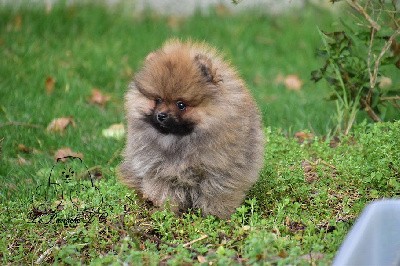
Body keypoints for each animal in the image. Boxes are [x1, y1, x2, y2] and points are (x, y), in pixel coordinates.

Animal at [117, 39, 264, 218]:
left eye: (181, 105)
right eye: (158, 100)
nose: (161, 115)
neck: (179, 141)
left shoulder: (218, 173)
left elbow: (216, 196)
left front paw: (215, 218)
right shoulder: (159, 172)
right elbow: (165, 194)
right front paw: (166, 214)